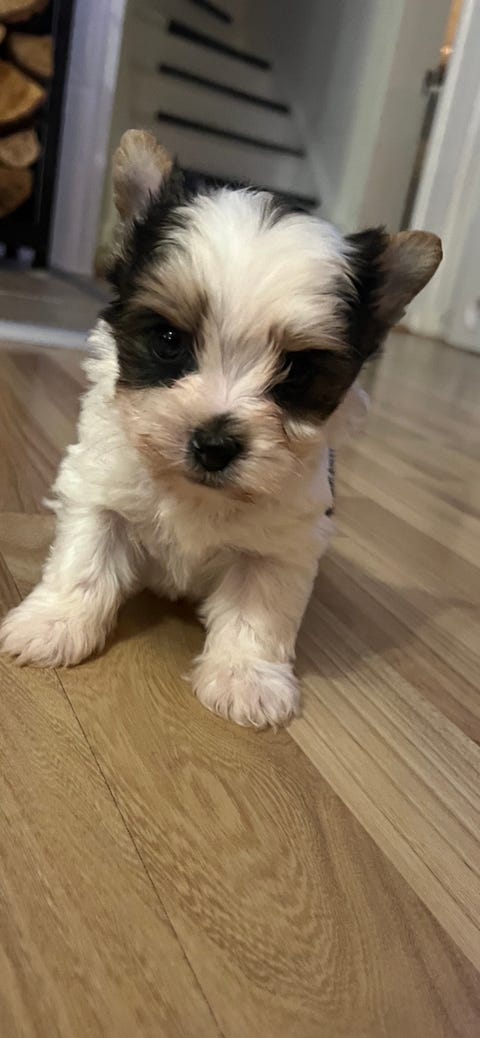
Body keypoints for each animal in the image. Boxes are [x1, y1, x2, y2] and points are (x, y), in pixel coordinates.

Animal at [0, 130, 442, 727]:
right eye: (168, 340)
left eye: (297, 372)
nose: (213, 445)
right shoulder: (100, 488)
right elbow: (84, 557)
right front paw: (53, 624)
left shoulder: (285, 541)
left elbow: (260, 605)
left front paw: (246, 677)